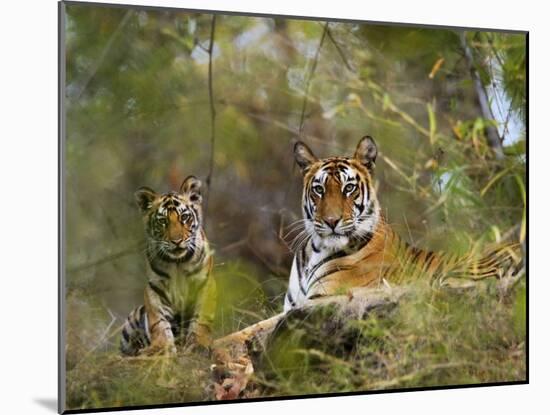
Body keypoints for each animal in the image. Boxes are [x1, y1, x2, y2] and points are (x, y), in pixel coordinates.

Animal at [121, 177, 216, 356]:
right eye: (163, 221)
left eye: (184, 217)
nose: (176, 241)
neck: (177, 263)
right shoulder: (155, 288)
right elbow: (158, 322)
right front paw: (160, 347)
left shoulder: (204, 284)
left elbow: (201, 319)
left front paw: (198, 343)